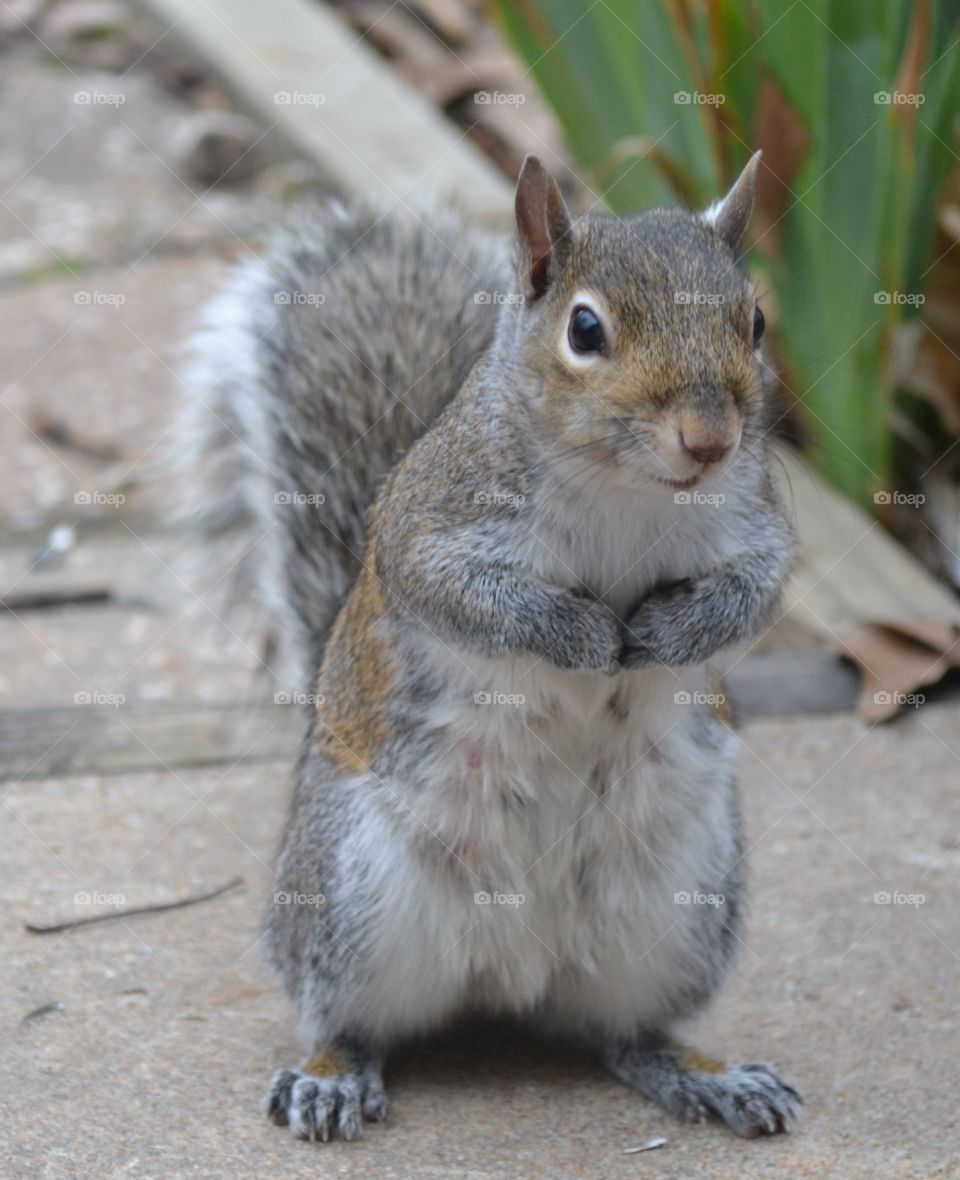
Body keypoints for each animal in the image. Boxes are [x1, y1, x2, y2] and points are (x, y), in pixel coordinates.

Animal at [178, 151, 800, 1142]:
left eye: (756, 320)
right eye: (585, 329)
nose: (710, 440)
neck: (625, 489)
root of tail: (516, 973)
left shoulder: (753, 525)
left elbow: (756, 593)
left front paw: (671, 632)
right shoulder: (428, 524)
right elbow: (470, 598)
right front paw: (580, 633)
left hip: (679, 908)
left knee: (627, 1034)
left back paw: (708, 1074)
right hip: (351, 890)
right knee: (338, 1010)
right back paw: (332, 1075)